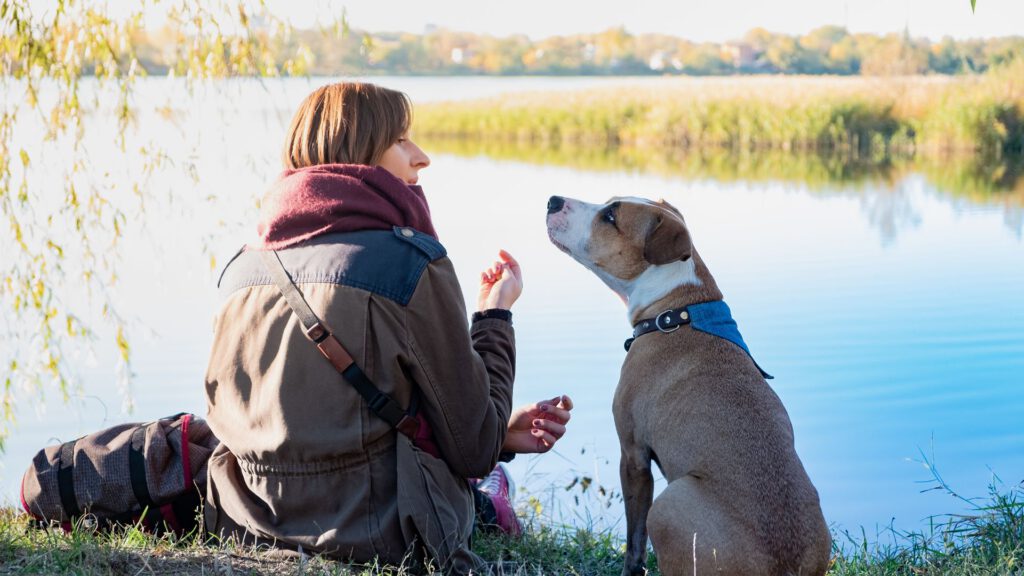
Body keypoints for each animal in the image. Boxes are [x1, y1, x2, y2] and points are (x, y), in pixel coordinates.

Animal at [548, 193, 827, 573]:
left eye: (610, 217)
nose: (552, 200)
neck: (676, 312)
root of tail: (784, 567)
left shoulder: (633, 454)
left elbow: (634, 539)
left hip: (670, 502)